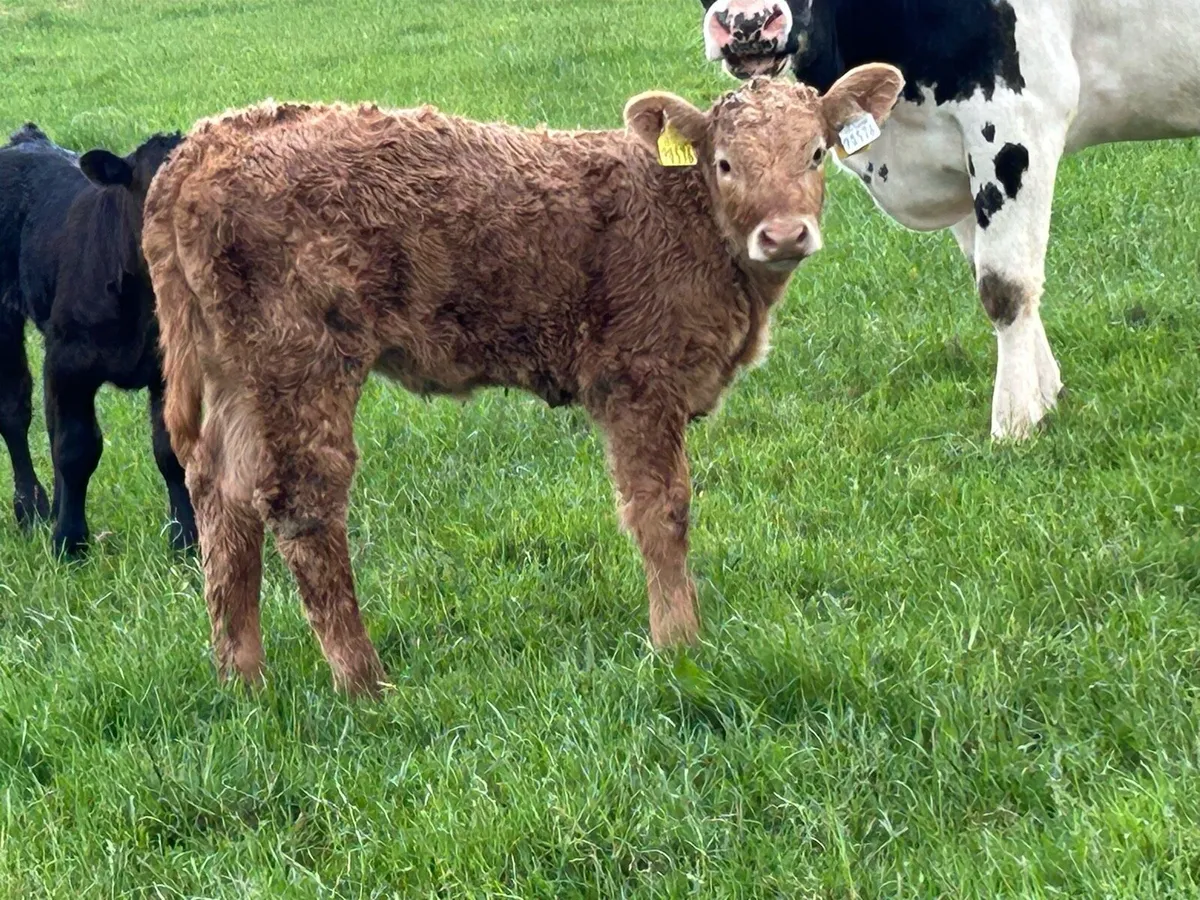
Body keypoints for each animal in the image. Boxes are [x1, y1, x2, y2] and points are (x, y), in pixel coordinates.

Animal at [0, 124, 196, 557]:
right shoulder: (72, 362)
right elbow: (77, 449)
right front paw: (69, 543)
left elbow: (171, 452)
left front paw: (186, 540)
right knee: (15, 411)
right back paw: (32, 511)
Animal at [143, 67, 904, 695]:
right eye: (724, 163)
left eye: (816, 153)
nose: (784, 235)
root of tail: (206, 143)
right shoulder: (641, 381)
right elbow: (661, 512)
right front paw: (679, 646)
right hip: (301, 359)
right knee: (302, 503)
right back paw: (365, 685)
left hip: (237, 369)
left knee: (221, 495)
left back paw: (243, 680)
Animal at [700, 0, 1200, 438]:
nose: (747, 21)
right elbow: (991, 270)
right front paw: (1046, 397)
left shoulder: (1015, 121)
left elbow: (1005, 285)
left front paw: (1013, 422)